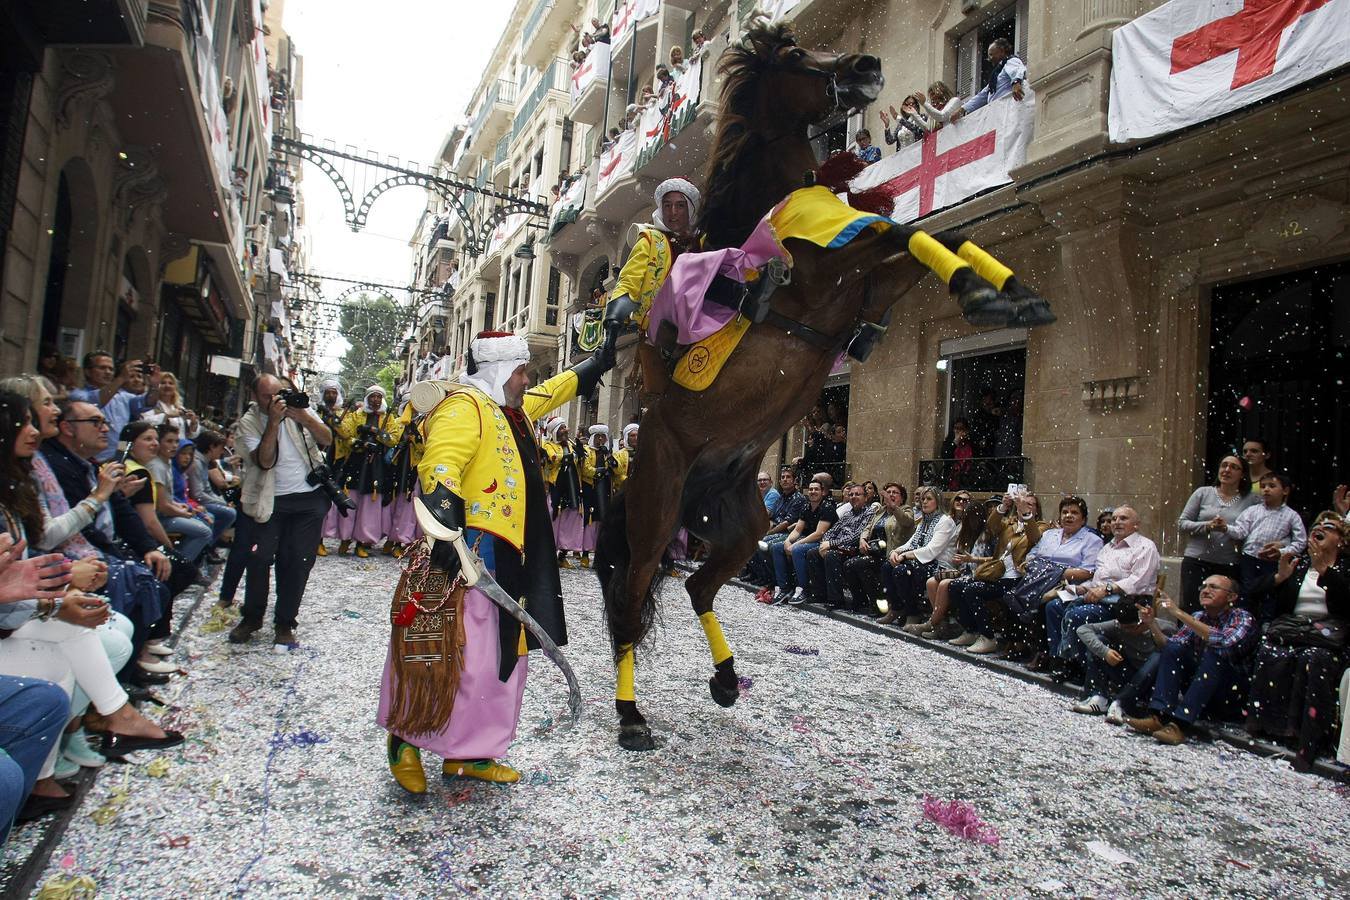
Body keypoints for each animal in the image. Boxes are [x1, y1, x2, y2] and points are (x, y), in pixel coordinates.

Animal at [596, 21, 1047, 755]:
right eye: (798, 55)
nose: (865, 65)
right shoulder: (828, 276)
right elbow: (907, 230)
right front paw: (987, 292)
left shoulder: (862, 275)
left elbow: (929, 234)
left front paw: (1004, 292)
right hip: (658, 508)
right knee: (633, 598)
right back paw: (632, 716)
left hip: (740, 525)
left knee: (699, 589)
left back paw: (726, 679)